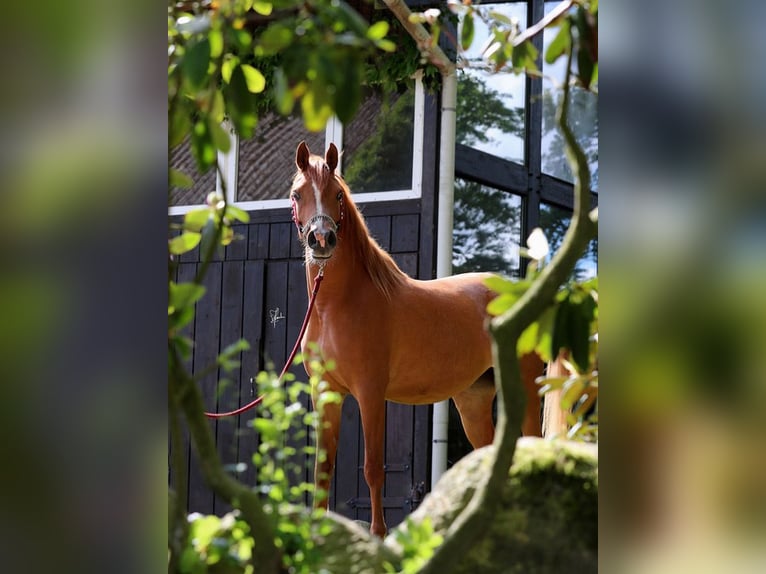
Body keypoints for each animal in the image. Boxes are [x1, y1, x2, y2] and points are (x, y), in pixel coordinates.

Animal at [290, 140, 547, 537]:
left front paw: (378, 535)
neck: (336, 305)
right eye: (297, 194)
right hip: (473, 400)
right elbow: (322, 469)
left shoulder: (370, 392)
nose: (321, 240)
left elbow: (373, 468)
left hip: (527, 390)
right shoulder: (325, 392)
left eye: (337, 195)